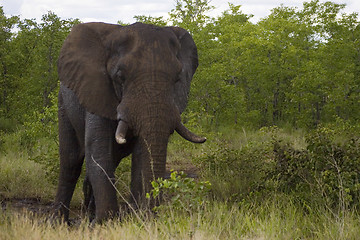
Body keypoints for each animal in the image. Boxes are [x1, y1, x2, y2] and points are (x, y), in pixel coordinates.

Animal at [53, 21, 205, 224]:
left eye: (178, 78)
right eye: (120, 76)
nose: (151, 215)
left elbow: (141, 154)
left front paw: (138, 218)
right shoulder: (97, 91)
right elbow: (98, 150)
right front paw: (106, 223)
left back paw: (90, 215)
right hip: (64, 103)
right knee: (71, 161)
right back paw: (58, 222)